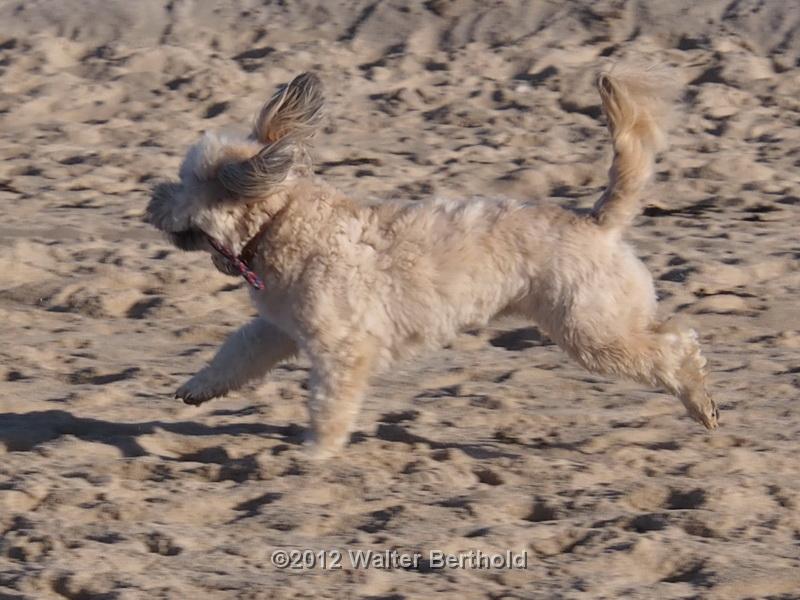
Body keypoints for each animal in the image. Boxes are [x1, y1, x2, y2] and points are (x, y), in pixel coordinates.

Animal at [147, 68, 720, 458]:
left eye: (183, 183)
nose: (150, 202)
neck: (285, 220)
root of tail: (597, 220)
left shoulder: (341, 349)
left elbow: (329, 402)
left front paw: (317, 451)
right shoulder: (278, 329)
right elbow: (236, 352)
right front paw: (198, 388)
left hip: (591, 333)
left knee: (673, 351)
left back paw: (699, 400)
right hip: (610, 318)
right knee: (675, 334)